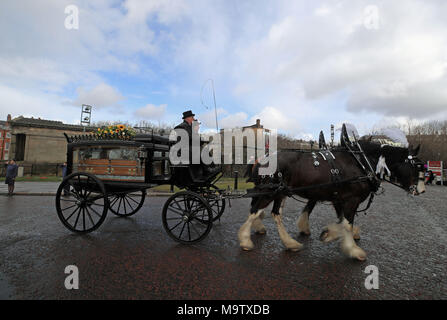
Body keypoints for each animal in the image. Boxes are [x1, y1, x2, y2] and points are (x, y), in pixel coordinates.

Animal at [240, 129, 426, 260]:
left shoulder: (340, 197)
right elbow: (347, 223)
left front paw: (329, 233)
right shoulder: (351, 200)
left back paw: (287, 241)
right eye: (416, 166)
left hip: (279, 192)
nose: (421, 190)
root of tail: (263, 157)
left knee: (272, 212)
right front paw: (353, 250)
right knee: (257, 210)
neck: (361, 162)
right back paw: (246, 240)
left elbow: (342, 220)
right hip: (270, 192)